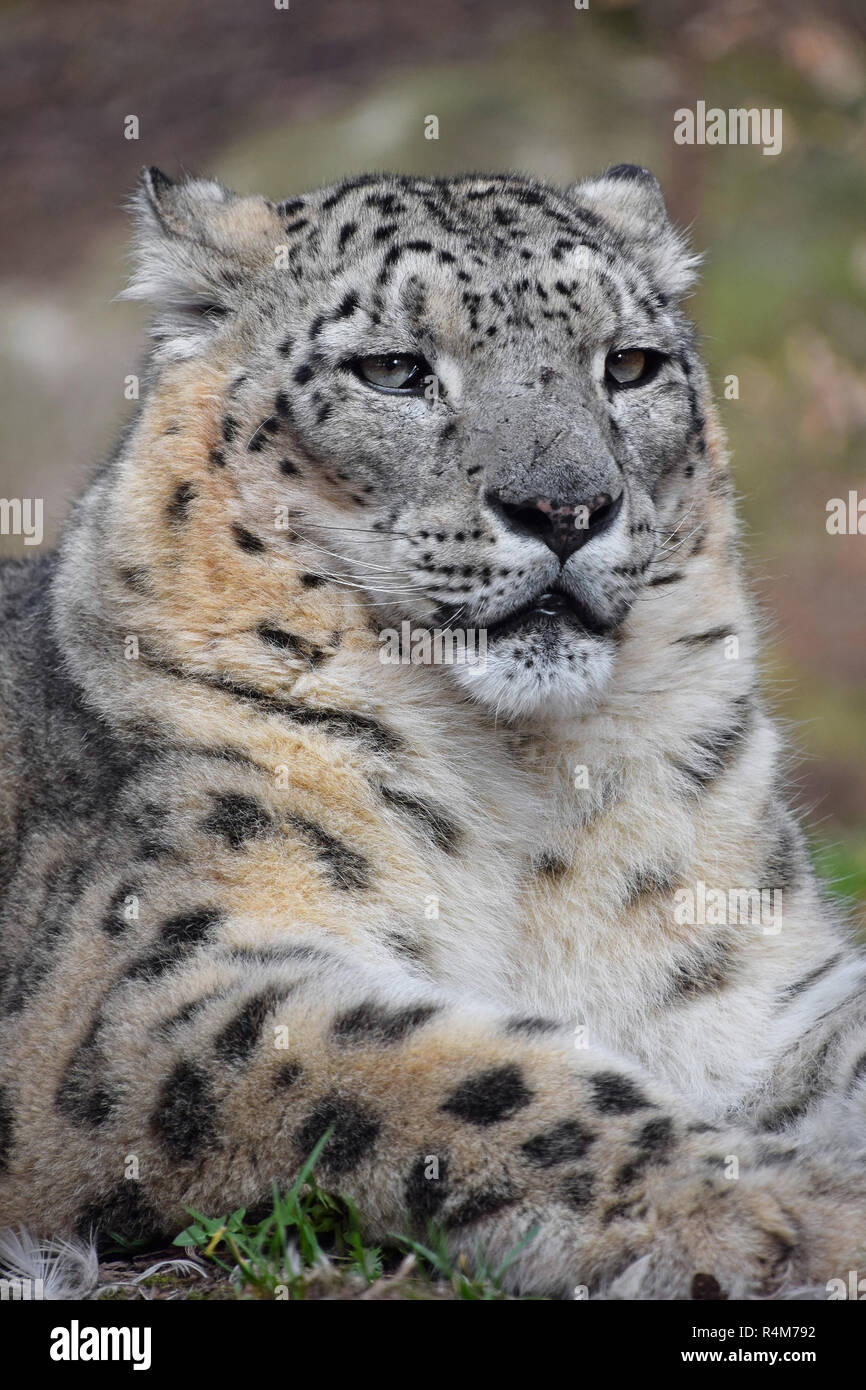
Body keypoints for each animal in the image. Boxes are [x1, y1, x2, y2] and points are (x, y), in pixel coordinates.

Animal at [1, 165, 866, 1301]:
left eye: (628, 363)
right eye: (394, 369)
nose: (565, 506)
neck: (537, 794)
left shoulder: (761, 985)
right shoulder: (143, 991)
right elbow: (460, 1075)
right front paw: (782, 1213)